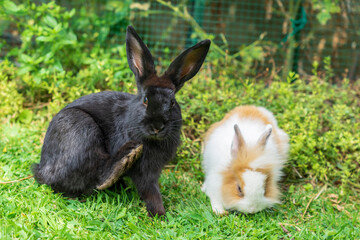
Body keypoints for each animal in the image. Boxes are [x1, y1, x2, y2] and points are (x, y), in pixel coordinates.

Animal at [33, 25, 211, 217]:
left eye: (172, 103)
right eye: (145, 100)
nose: (157, 126)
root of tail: (42, 169)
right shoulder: (144, 172)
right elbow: (150, 191)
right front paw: (159, 214)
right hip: (81, 130)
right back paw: (124, 160)